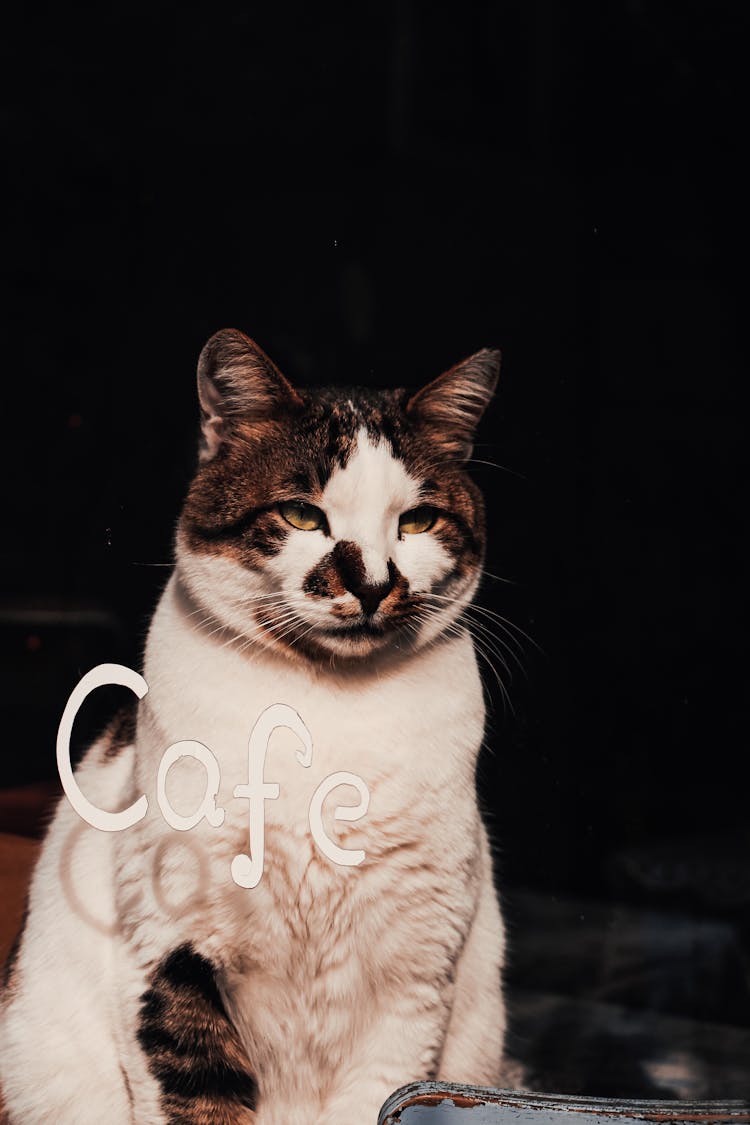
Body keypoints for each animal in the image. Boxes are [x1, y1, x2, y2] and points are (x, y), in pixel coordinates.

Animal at [0, 328, 517, 1120]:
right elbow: (195, 1090)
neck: (326, 713)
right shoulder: (168, 945)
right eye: (303, 515)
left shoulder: (414, 977)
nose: (373, 582)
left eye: (417, 521)